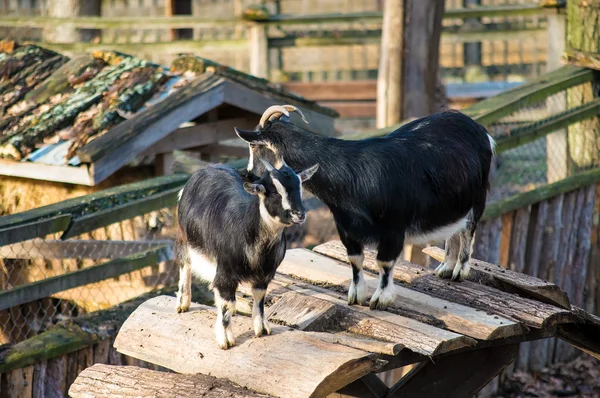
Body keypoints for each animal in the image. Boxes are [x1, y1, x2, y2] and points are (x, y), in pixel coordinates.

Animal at [176, 159, 322, 348]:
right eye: (274, 192)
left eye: (300, 187)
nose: (299, 214)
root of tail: (206, 168)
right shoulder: (225, 271)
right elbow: (226, 303)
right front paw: (226, 340)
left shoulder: (265, 273)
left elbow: (259, 297)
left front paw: (262, 329)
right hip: (184, 237)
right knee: (184, 264)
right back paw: (183, 303)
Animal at [237, 105, 494, 310]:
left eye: (253, 146)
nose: (246, 176)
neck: (353, 176)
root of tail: (480, 130)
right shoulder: (346, 226)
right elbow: (355, 259)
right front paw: (356, 295)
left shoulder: (394, 227)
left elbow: (384, 263)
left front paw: (381, 299)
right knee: (455, 228)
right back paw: (445, 268)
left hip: (478, 196)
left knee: (468, 229)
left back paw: (460, 271)